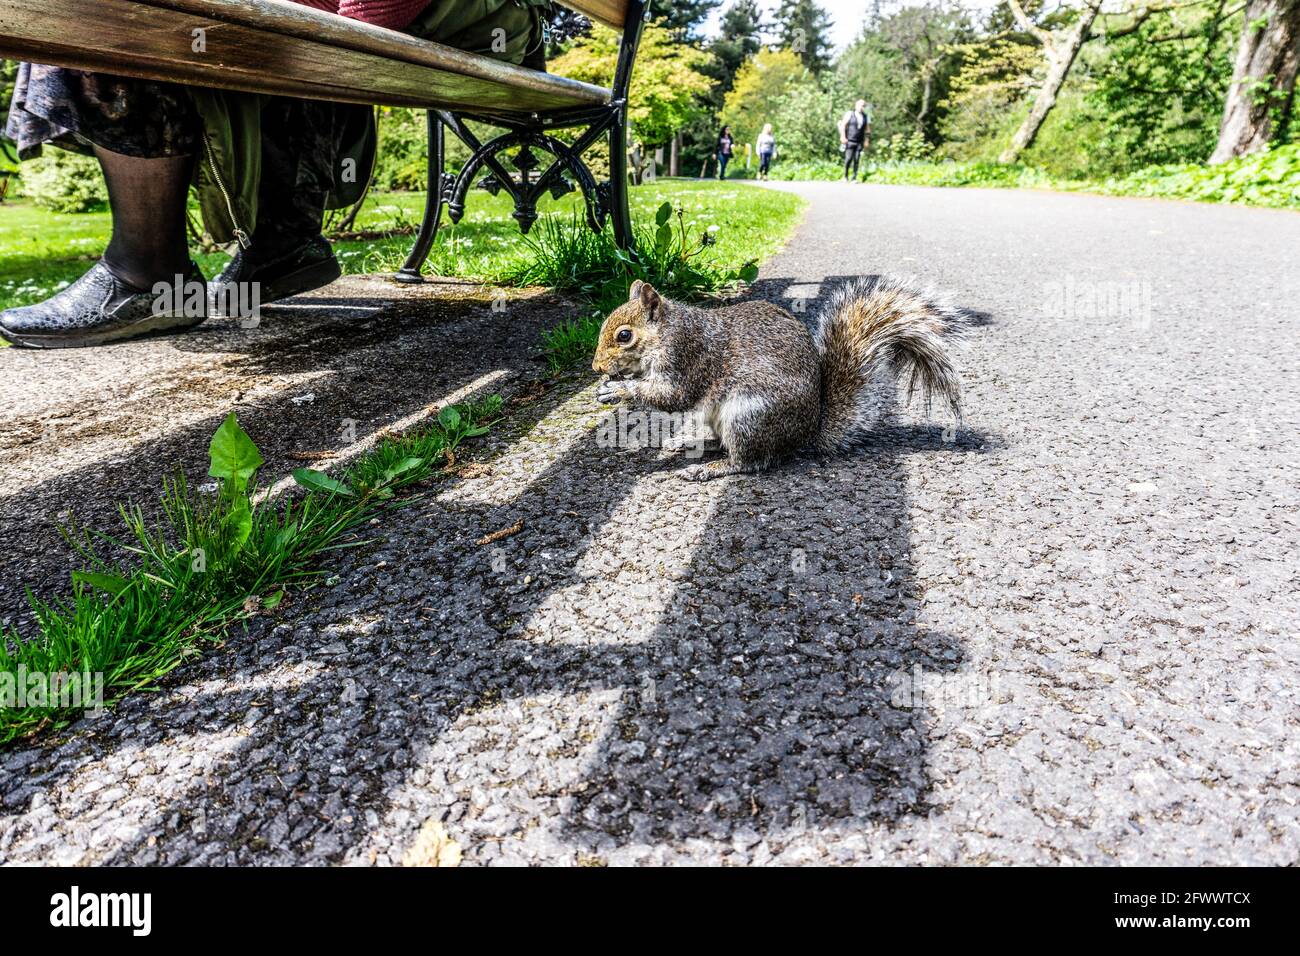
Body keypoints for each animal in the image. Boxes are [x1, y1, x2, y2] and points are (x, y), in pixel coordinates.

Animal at [592, 276, 965, 480]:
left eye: (624, 335)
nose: (596, 367)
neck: (668, 331)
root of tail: (805, 433)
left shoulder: (689, 356)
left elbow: (674, 396)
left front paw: (620, 390)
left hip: (749, 416)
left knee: (750, 461)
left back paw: (710, 468)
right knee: (726, 444)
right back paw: (692, 444)